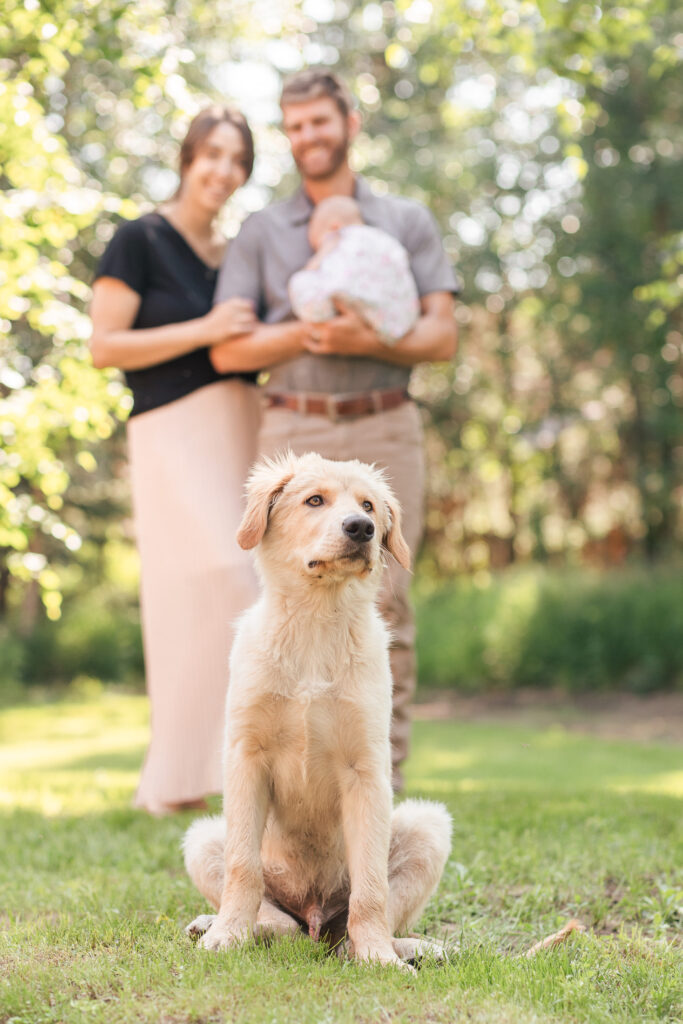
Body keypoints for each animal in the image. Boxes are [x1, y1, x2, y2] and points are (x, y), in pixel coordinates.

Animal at [180, 450, 454, 966]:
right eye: (314, 500)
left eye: (369, 505)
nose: (362, 528)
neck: (315, 620)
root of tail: (314, 918)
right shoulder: (246, 755)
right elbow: (242, 867)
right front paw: (228, 935)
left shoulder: (365, 767)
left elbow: (372, 887)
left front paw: (378, 956)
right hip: (202, 837)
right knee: (279, 924)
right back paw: (226, 926)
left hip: (427, 826)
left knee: (353, 929)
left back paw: (407, 946)